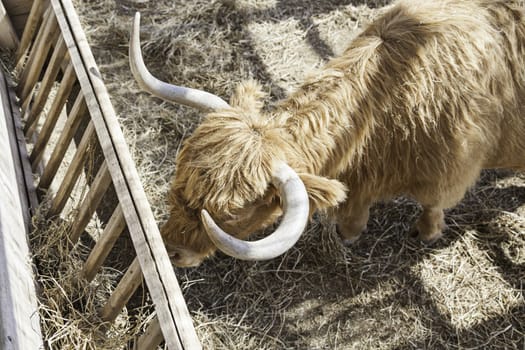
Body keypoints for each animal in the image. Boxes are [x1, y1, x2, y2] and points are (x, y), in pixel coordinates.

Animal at [128, 0, 524, 266]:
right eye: (178, 182)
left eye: (233, 214)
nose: (172, 250)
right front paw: (349, 233)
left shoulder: (449, 172)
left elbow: (433, 204)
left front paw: (425, 233)